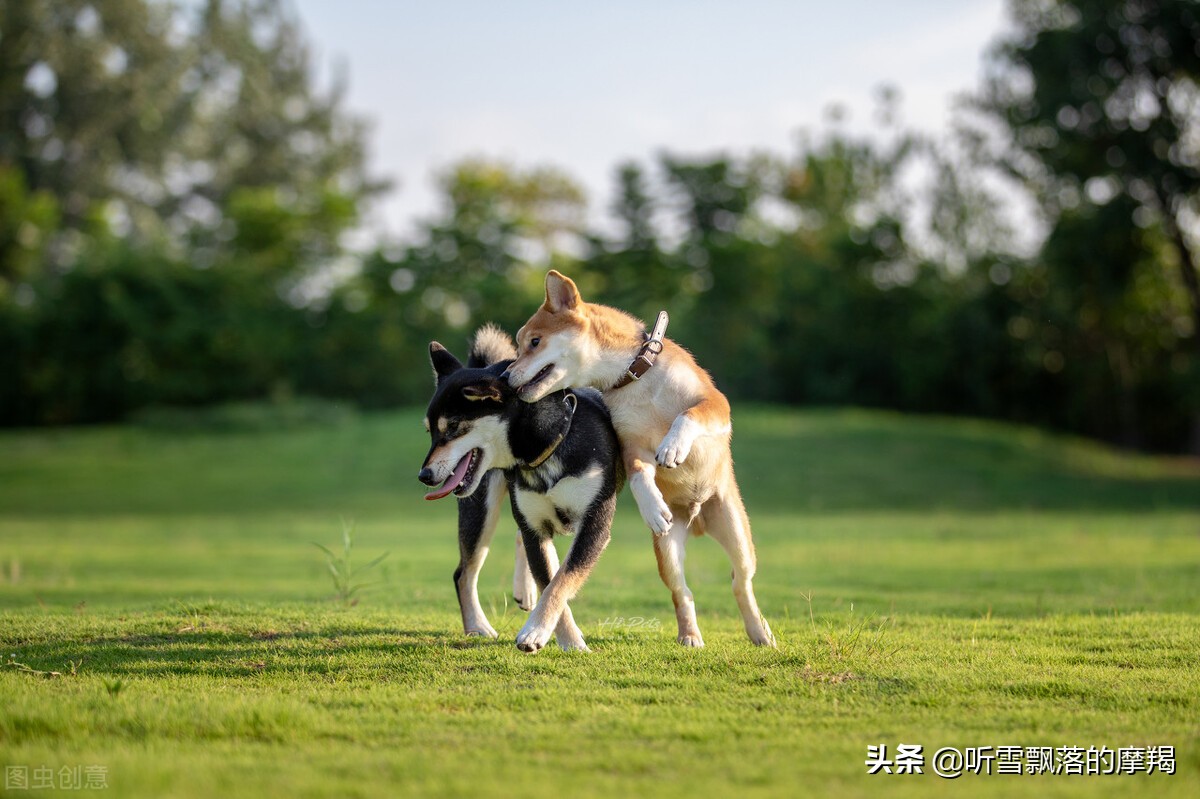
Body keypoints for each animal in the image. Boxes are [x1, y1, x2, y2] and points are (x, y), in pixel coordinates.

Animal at [417, 326, 624, 652]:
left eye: (452, 428)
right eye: (430, 431)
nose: (423, 475)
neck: (547, 446)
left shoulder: (594, 525)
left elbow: (561, 580)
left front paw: (545, 633)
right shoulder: (534, 527)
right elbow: (550, 580)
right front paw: (556, 635)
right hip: (481, 510)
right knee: (463, 573)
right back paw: (477, 626)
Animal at [499, 271, 772, 643]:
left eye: (535, 342)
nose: (504, 376)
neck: (636, 380)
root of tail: (697, 520)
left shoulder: (714, 403)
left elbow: (688, 416)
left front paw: (673, 447)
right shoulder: (631, 446)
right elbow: (642, 475)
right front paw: (653, 508)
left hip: (737, 534)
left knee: (740, 581)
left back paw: (759, 631)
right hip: (667, 550)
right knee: (682, 593)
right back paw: (689, 635)